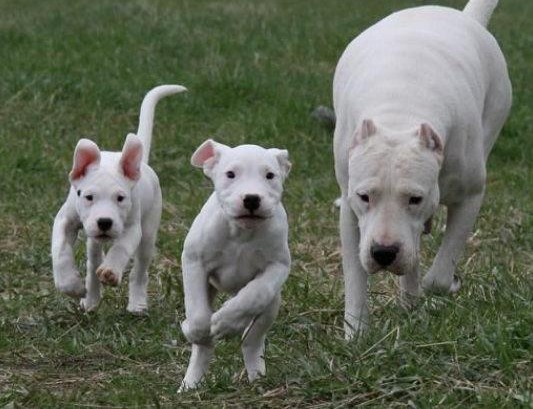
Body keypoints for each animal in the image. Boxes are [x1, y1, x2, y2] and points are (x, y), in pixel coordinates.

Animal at [51, 83, 186, 312]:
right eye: (88, 197)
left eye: (121, 198)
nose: (105, 222)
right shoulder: (65, 219)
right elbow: (60, 249)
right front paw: (70, 284)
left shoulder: (132, 228)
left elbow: (121, 248)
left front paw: (111, 270)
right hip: (94, 243)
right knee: (93, 265)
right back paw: (91, 300)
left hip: (148, 235)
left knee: (140, 271)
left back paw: (137, 303)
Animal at [181, 139, 294, 388]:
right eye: (230, 174)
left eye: (270, 175)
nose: (251, 198)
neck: (242, 234)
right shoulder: (194, 261)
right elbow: (198, 315)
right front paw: (195, 330)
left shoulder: (278, 265)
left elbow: (255, 293)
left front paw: (227, 321)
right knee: (203, 350)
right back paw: (190, 385)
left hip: (272, 305)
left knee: (252, 340)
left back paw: (256, 375)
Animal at [332, 0, 512, 338]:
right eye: (364, 197)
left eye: (415, 199)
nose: (384, 253)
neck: (400, 114)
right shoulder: (351, 212)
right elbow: (354, 273)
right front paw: (356, 334)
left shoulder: (469, 197)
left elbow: (438, 277)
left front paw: (440, 287)